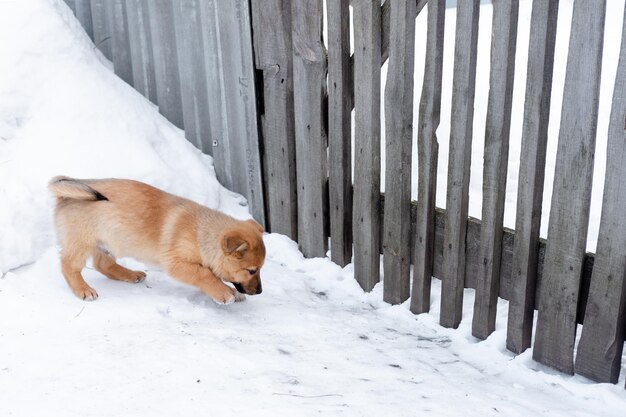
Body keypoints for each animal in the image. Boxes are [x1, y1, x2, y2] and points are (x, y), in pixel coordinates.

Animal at [48, 174, 264, 304]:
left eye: (259, 269)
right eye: (252, 270)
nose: (260, 292)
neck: (201, 234)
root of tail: (65, 194)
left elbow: (209, 274)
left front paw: (229, 291)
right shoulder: (177, 264)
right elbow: (204, 274)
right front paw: (224, 292)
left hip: (107, 242)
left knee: (103, 265)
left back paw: (130, 274)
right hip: (82, 242)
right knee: (69, 266)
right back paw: (83, 289)